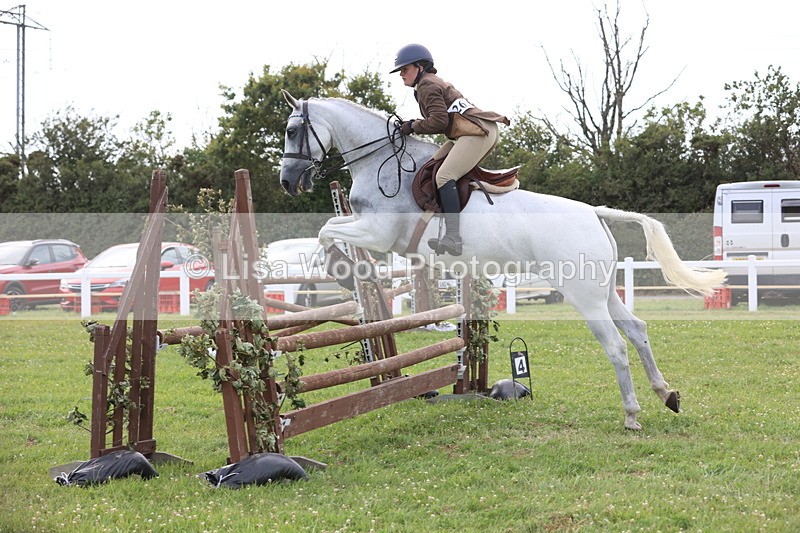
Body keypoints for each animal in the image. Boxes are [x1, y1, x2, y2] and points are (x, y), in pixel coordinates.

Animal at [278, 90, 726, 430]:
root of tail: (594, 212)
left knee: (616, 345)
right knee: (636, 329)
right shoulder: (372, 231)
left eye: (292, 130)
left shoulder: (377, 232)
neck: (381, 164)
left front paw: (339, 267)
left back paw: (632, 415)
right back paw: (666, 394)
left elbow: (327, 230)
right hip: (603, 290)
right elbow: (330, 228)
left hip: (583, 294)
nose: (287, 182)